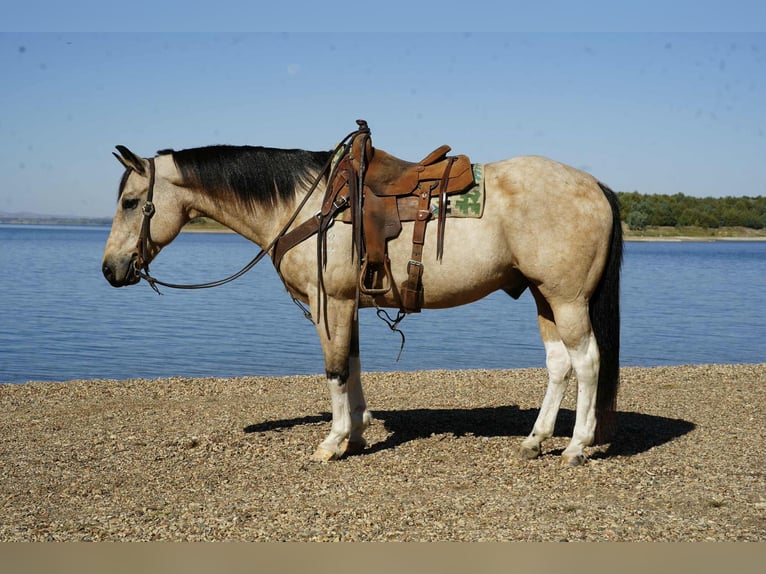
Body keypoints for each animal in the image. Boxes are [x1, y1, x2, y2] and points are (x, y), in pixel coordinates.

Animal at [102, 125, 622, 467]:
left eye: (131, 202)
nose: (109, 269)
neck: (306, 206)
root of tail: (594, 184)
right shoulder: (345, 304)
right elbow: (350, 365)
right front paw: (355, 433)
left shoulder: (328, 301)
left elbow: (334, 370)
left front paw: (332, 442)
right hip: (543, 297)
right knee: (559, 365)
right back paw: (536, 440)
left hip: (568, 299)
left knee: (587, 363)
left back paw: (576, 447)